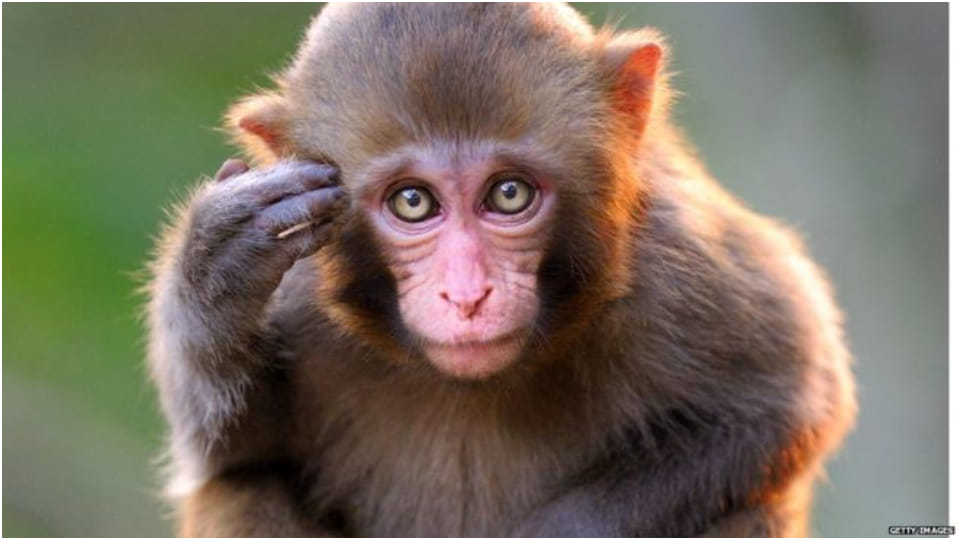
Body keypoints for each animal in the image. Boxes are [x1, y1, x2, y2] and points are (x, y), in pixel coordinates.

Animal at [146, 3, 856, 537]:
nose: (467, 296)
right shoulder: (298, 271)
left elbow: (784, 405)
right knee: (244, 488)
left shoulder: (681, 261)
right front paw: (215, 270)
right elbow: (238, 449)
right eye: (413, 202)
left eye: (508, 194)